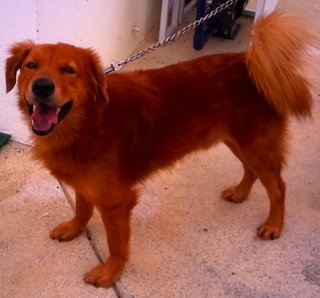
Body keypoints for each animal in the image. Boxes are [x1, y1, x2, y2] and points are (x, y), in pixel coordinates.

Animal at [5, 11, 318, 286]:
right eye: (31, 65)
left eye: (69, 70)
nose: (42, 87)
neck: (89, 121)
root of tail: (248, 61)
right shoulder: (86, 182)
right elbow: (82, 209)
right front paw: (74, 228)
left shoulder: (116, 201)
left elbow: (116, 244)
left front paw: (110, 272)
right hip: (238, 141)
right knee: (251, 170)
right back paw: (240, 193)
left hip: (255, 144)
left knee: (278, 187)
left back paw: (274, 224)